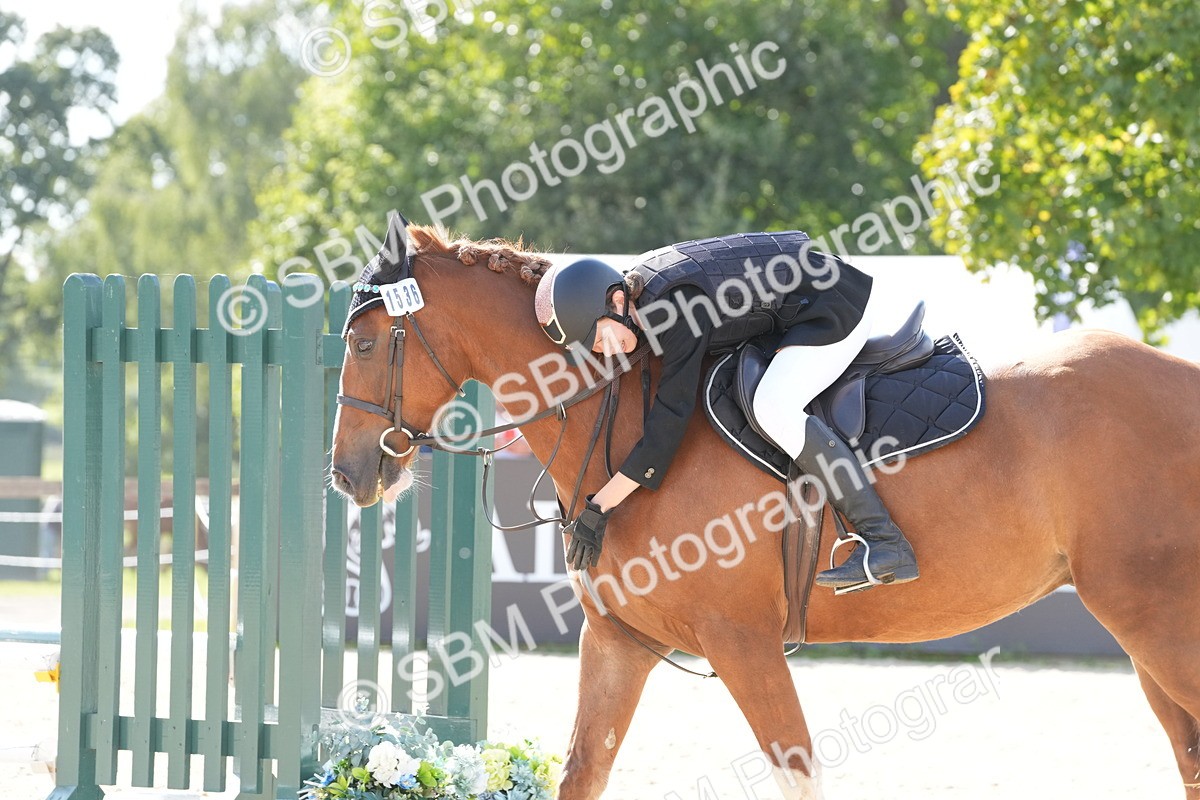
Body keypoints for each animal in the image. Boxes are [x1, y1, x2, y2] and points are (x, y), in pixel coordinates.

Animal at [329, 224, 1200, 799]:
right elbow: (583, 771)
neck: (621, 408)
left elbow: (796, 771)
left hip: (1154, 620)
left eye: (366, 345)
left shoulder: (742, 642)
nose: (347, 476)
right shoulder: (620, 642)